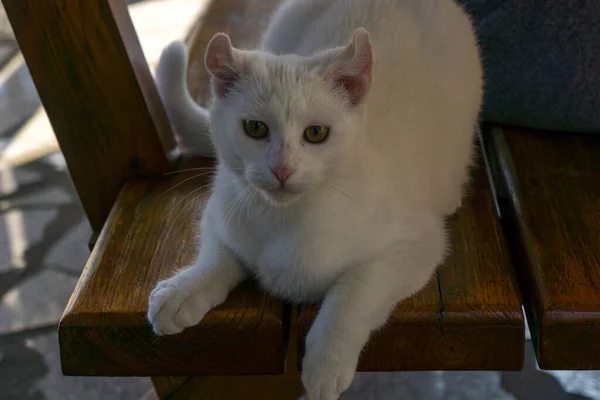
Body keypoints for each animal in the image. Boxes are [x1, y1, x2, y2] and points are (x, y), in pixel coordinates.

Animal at [150, 1, 482, 398]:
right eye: (255, 128)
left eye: (317, 133)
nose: (282, 169)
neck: (287, 220)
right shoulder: (220, 210)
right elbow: (218, 254)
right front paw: (185, 288)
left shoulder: (416, 243)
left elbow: (354, 293)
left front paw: (326, 363)